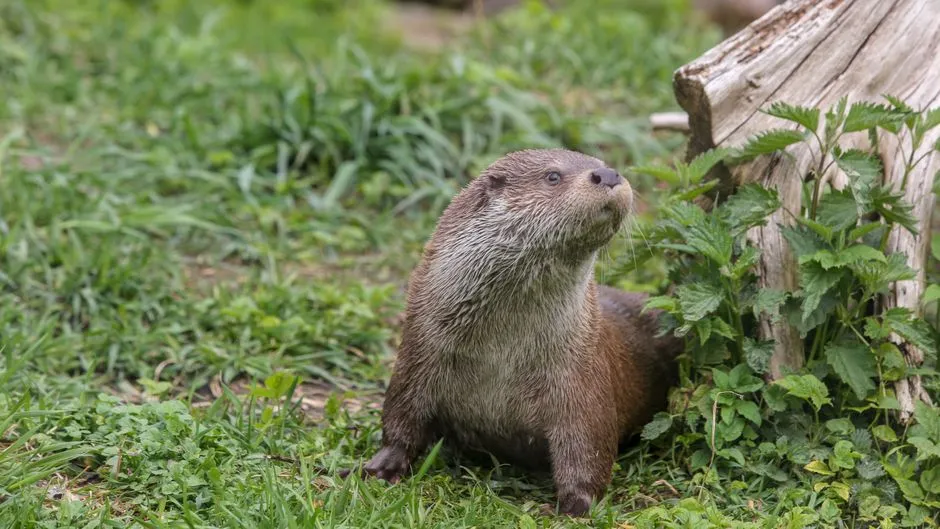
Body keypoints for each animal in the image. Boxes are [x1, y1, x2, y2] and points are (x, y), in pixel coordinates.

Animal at [354, 148, 681, 516]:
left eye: (603, 163)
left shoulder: (581, 375)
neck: (501, 356)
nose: (609, 175)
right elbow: (401, 416)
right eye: (553, 176)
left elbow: (587, 446)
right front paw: (381, 467)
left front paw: (576, 504)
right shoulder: (420, 350)